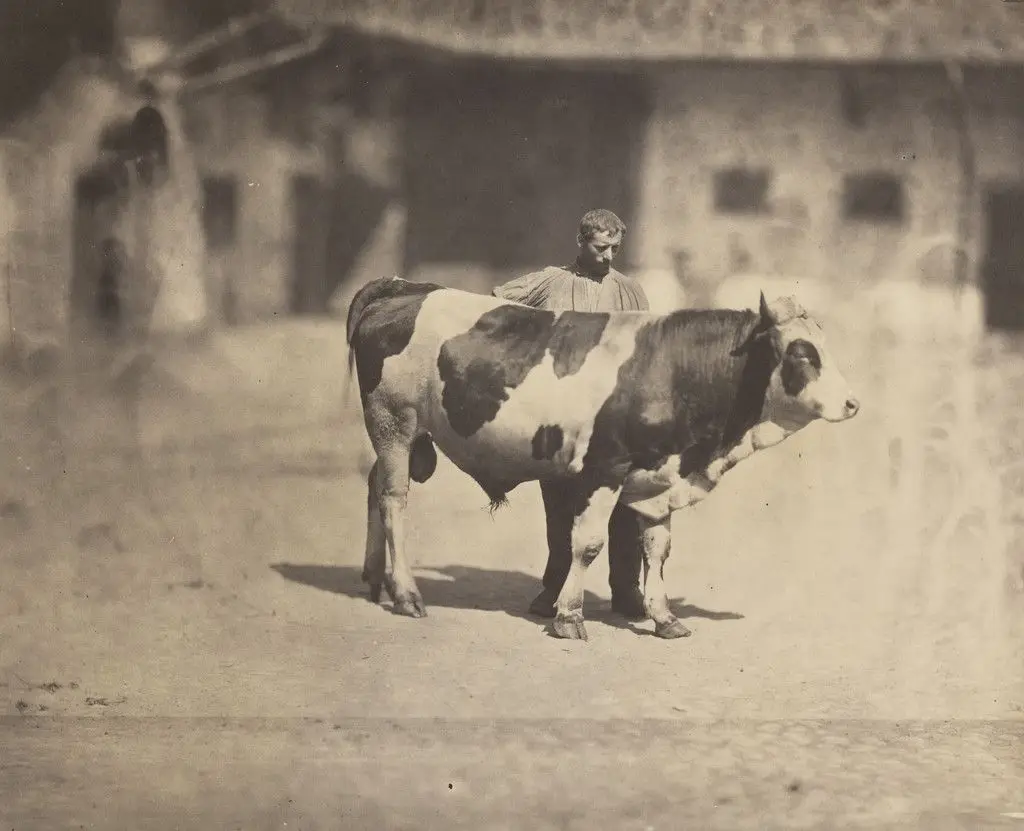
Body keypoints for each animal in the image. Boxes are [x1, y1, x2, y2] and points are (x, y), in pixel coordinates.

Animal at [345, 276, 860, 642]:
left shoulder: (657, 477)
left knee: (373, 484)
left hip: (412, 439)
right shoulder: (604, 468)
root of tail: (406, 286)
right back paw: (406, 592)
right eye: (801, 352)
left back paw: (373, 577)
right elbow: (588, 543)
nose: (853, 403)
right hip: (394, 422)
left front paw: (664, 616)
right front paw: (568, 616)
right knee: (393, 499)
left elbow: (657, 549)